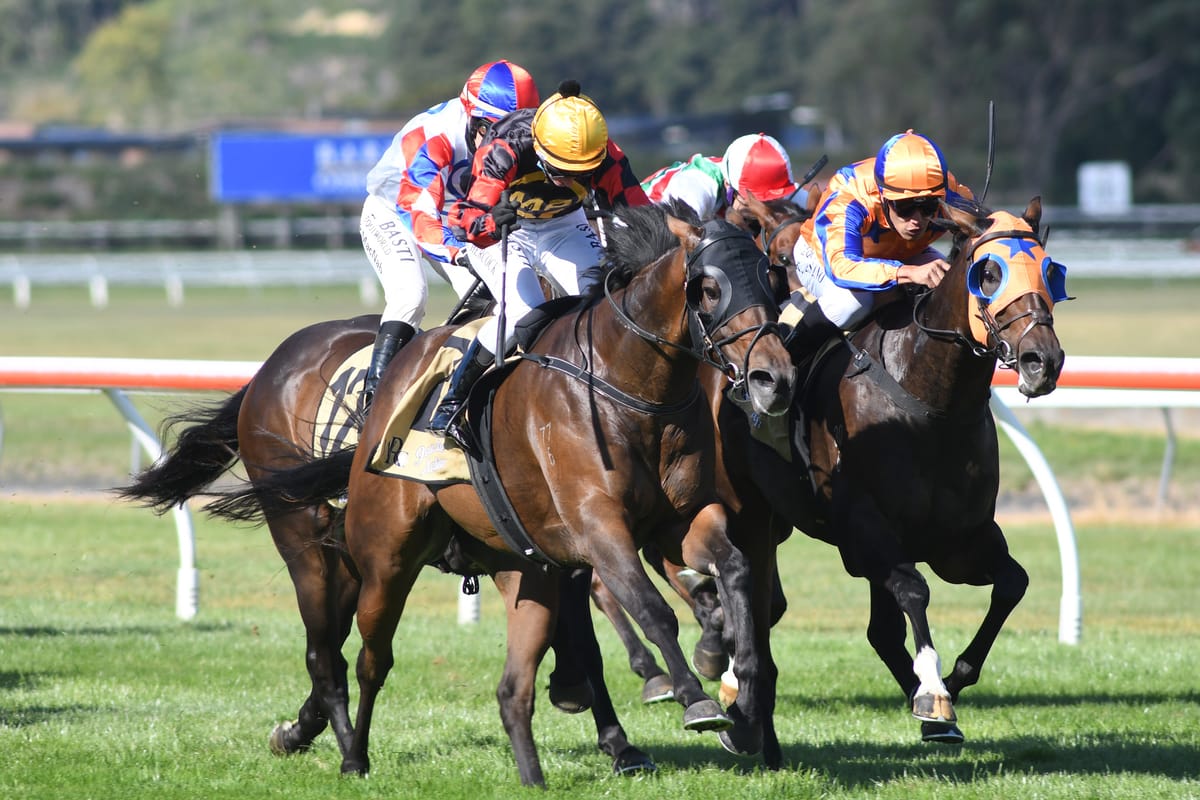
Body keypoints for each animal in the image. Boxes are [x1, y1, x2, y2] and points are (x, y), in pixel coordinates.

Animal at [116, 314, 661, 781]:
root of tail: (268, 370)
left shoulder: (560, 550)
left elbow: (588, 639)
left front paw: (619, 740)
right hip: (305, 544)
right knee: (325, 654)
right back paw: (345, 749)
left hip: (349, 559)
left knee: (331, 644)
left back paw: (302, 729)